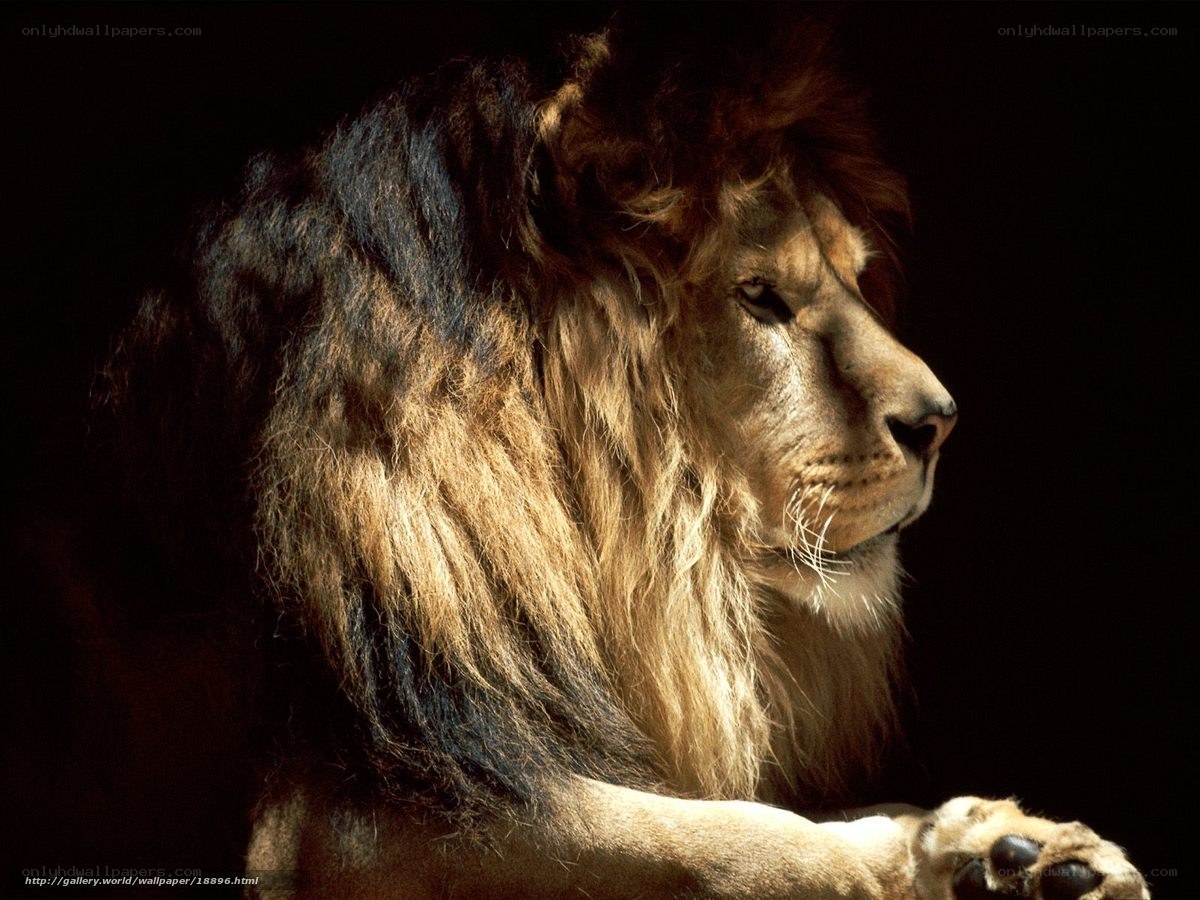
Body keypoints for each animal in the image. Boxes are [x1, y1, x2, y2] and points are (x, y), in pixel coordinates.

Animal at [78, 10, 1148, 900]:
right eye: (760, 297)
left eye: (853, 277)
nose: (940, 421)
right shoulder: (331, 820)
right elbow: (735, 838)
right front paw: (916, 863)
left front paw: (1007, 850)